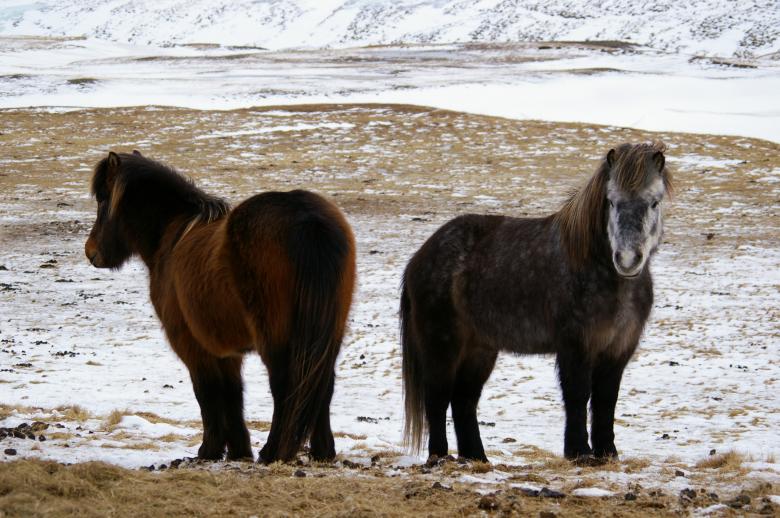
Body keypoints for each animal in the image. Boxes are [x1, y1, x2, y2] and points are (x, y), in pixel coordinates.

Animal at [85, 151, 356, 463]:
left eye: (103, 200)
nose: (91, 251)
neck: (173, 235)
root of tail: (307, 217)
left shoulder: (191, 345)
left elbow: (207, 392)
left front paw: (209, 450)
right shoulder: (227, 350)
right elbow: (233, 394)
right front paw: (239, 451)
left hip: (276, 338)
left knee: (285, 385)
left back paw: (273, 451)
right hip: (328, 333)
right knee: (321, 384)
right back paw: (323, 451)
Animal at [401, 142, 672, 463]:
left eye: (654, 202)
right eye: (611, 201)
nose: (628, 259)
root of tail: (420, 256)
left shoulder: (618, 348)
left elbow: (606, 400)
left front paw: (607, 453)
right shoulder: (575, 345)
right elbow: (578, 395)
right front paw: (579, 452)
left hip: (480, 349)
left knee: (463, 400)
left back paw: (477, 458)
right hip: (442, 344)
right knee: (438, 397)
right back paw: (440, 457)